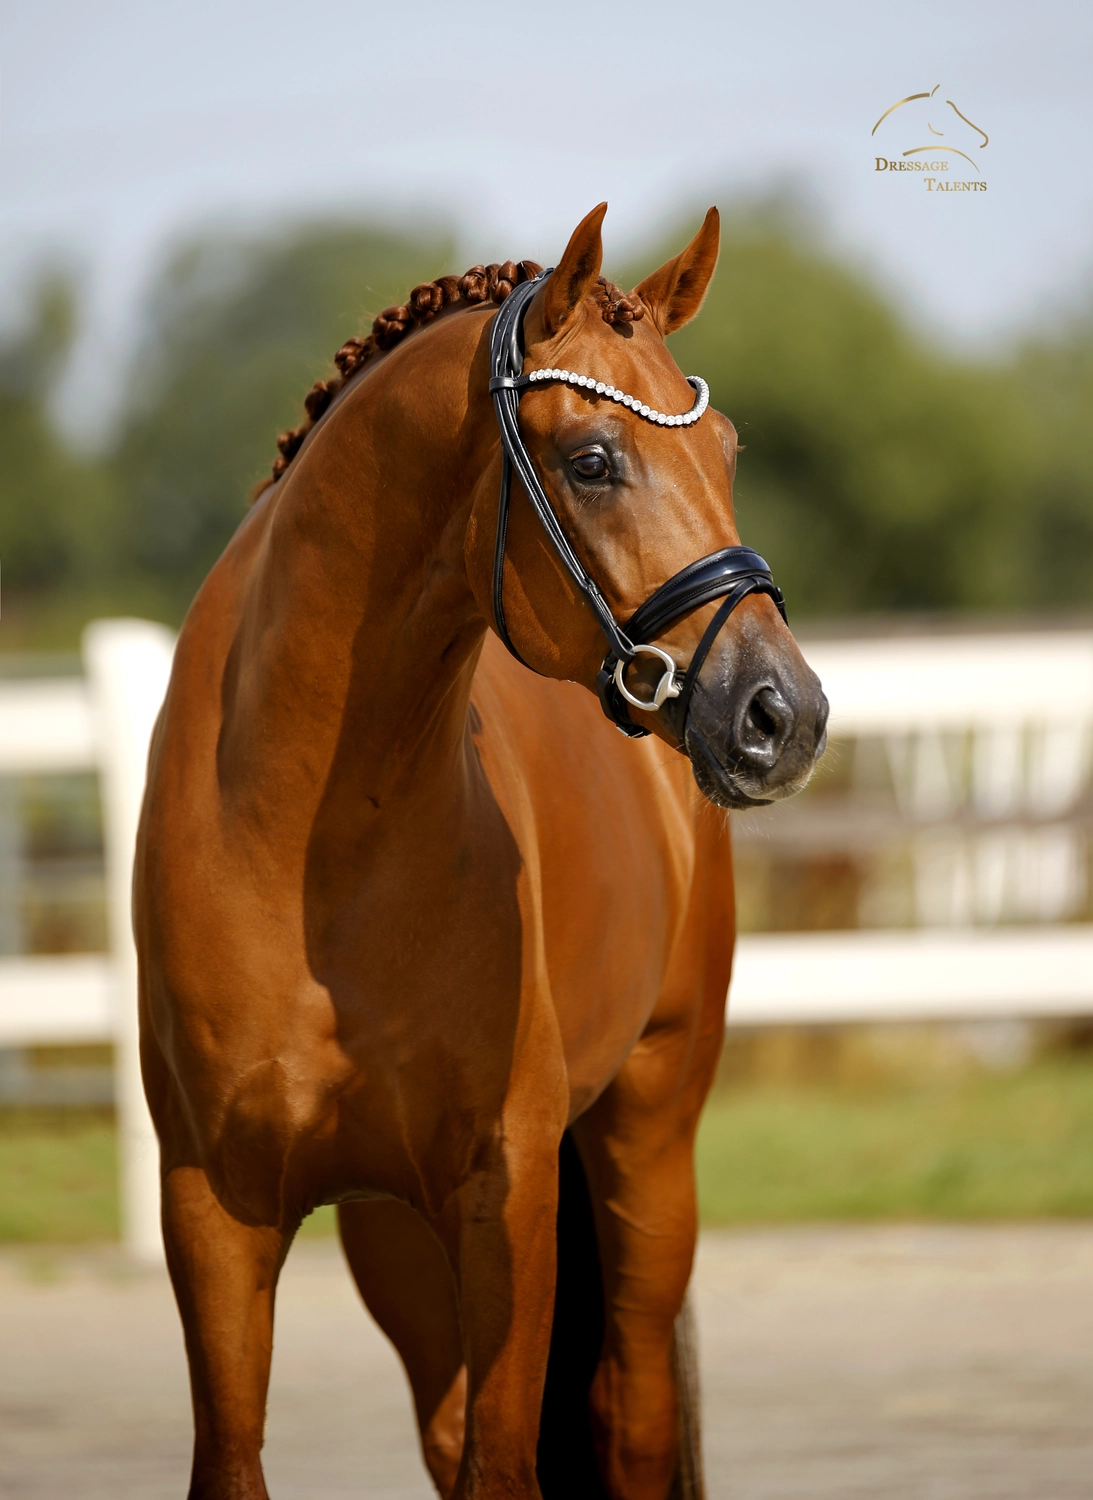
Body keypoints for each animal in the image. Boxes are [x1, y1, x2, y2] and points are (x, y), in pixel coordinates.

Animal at [134, 202, 828, 1500]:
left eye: (726, 452)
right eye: (592, 460)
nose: (785, 714)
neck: (313, 852)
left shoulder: (502, 1197)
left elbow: (507, 1463)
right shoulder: (215, 1208)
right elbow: (236, 1456)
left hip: (647, 1141)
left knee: (630, 1416)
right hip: (399, 1242)